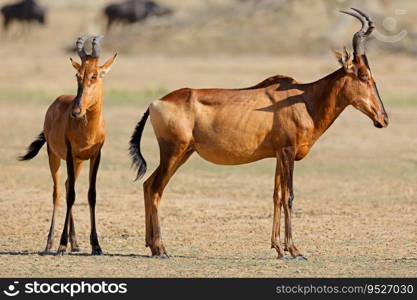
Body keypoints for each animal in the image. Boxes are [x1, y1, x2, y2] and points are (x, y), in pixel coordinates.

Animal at [19, 35, 116, 255]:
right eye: (77, 75)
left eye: (94, 75)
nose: (76, 111)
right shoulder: (70, 155)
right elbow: (71, 195)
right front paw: (62, 245)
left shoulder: (95, 156)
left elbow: (91, 195)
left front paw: (96, 245)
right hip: (54, 156)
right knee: (58, 192)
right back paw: (51, 243)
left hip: (79, 163)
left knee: (66, 184)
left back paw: (76, 243)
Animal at [129, 8, 386, 258]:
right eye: (364, 75)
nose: (383, 119)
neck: (303, 98)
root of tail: (156, 102)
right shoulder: (288, 151)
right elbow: (289, 196)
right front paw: (295, 250)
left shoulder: (279, 154)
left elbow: (277, 196)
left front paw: (279, 249)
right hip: (173, 152)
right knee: (155, 189)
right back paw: (161, 249)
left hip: (183, 153)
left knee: (148, 185)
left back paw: (151, 245)